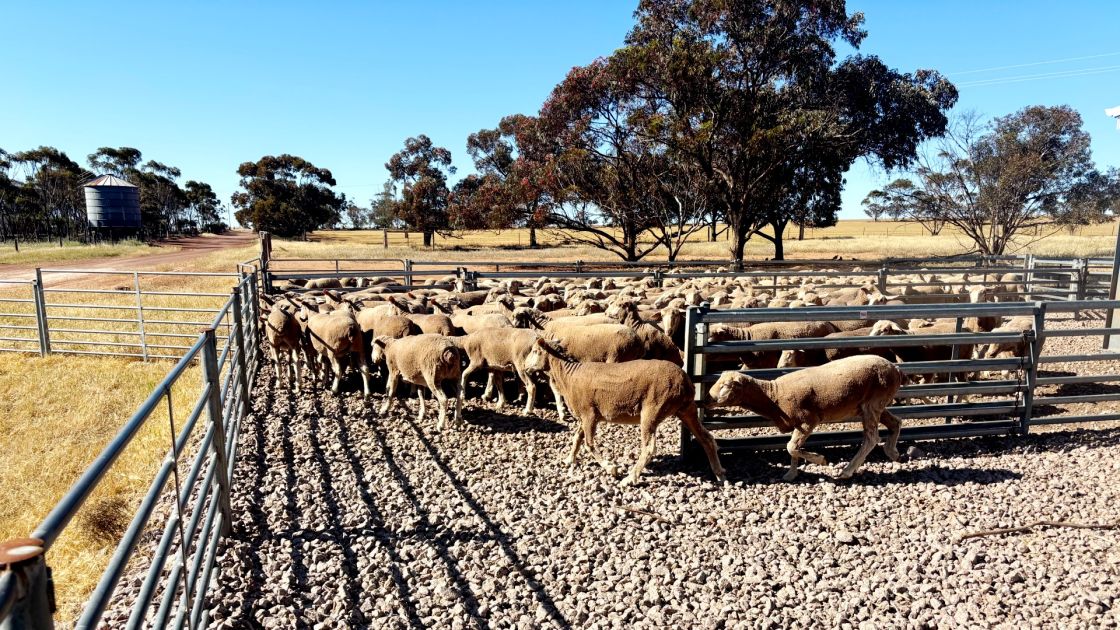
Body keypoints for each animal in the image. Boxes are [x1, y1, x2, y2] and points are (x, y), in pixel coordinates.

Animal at [524, 338, 726, 486]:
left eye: (535, 351)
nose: (525, 367)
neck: (568, 376)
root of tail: (685, 381)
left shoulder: (589, 414)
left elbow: (589, 444)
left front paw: (611, 468)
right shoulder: (585, 416)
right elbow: (577, 438)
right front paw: (569, 459)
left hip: (653, 409)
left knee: (649, 448)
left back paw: (630, 478)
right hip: (686, 408)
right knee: (707, 438)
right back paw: (720, 474)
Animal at [708, 355, 904, 481]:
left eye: (725, 385)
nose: (708, 398)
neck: (773, 395)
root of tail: (895, 369)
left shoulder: (808, 420)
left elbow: (791, 447)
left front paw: (820, 459)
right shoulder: (797, 423)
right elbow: (793, 447)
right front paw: (791, 474)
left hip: (873, 403)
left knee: (871, 438)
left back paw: (847, 471)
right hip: (873, 405)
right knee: (896, 422)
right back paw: (892, 452)